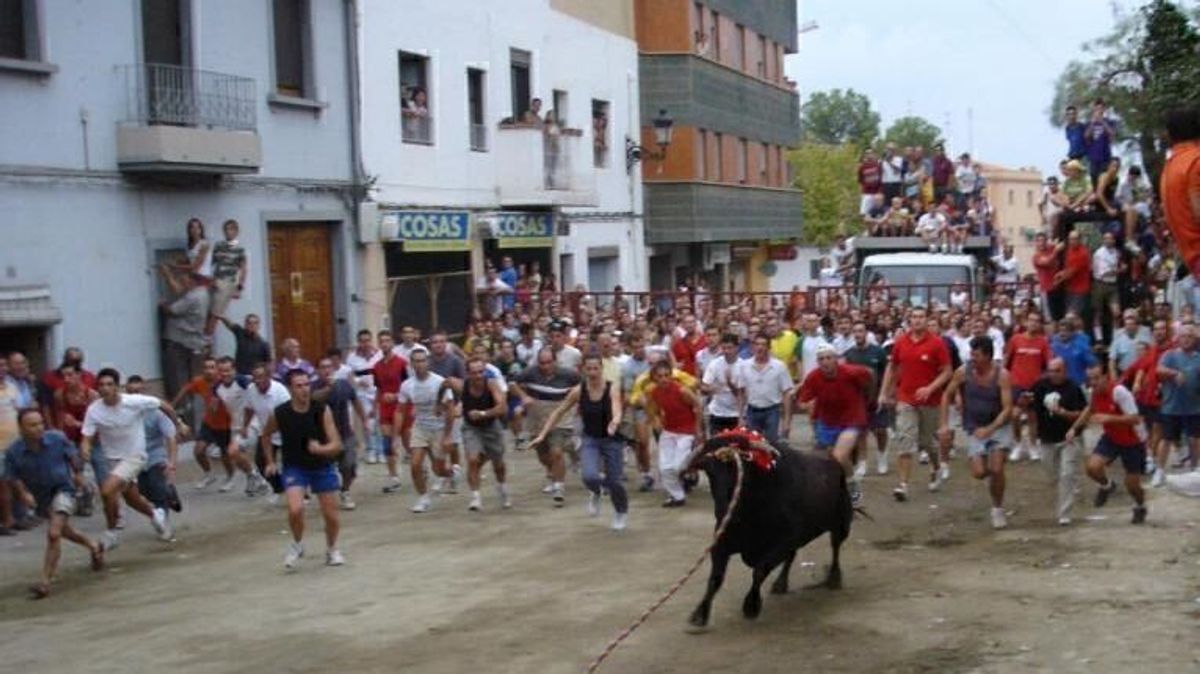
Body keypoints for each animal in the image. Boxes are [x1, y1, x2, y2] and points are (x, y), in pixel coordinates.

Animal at [686, 431, 854, 628]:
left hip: (841, 525)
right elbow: (715, 579)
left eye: (740, 471)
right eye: (711, 472)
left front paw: (751, 606)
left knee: (835, 548)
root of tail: (834, 461)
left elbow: (759, 571)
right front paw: (700, 614)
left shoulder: (782, 542)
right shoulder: (721, 543)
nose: (723, 510)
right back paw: (780, 584)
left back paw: (834, 579)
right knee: (793, 556)